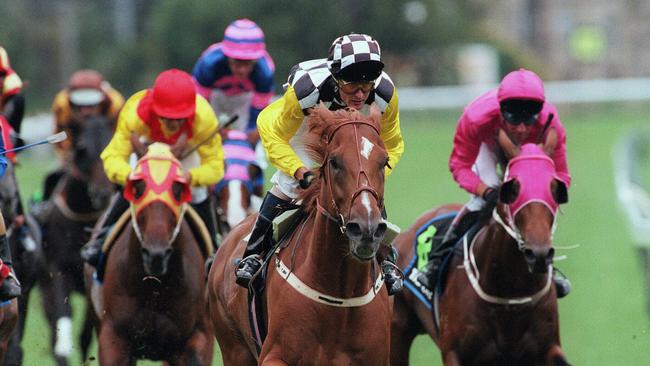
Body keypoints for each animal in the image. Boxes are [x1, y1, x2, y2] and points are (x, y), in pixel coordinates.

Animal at [85, 144, 213, 366]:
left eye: (178, 190)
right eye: (137, 188)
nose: (156, 254)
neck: (154, 287)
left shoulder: (198, 337)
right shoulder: (113, 337)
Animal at [208, 104, 390, 364]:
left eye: (384, 162)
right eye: (334, 162)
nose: (366, 229)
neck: (339, 293)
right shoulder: (274, 353)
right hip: (234, 347)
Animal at [390, 144, 568, 366]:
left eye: (555, 189)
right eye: (513, 190)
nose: (538, 253)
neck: (509, 295)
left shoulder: (548, 348)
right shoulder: (453, 352)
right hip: (397, 330)